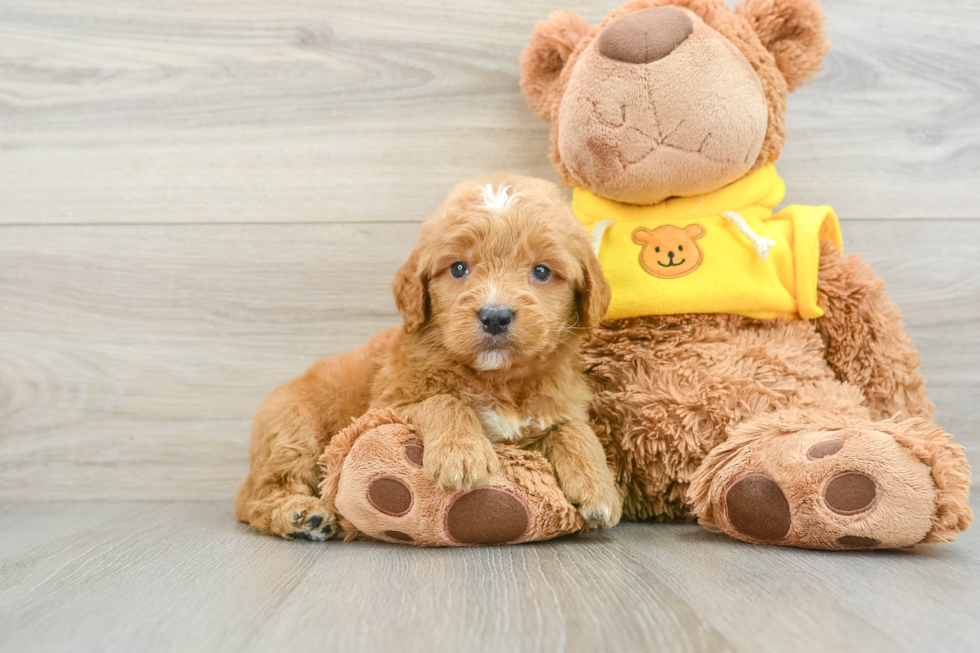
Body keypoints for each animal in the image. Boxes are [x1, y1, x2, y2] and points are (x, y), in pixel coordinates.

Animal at [236, 174, 620, 540]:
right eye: (459, 268)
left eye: (542, 271)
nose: (495, 316)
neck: (496, 377)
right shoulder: (390, 404)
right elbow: (443, 400)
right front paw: (461, 453)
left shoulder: (554, 408)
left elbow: (574, 429)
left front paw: (598, 487)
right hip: (294, 430)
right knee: (258, 495)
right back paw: (301, 515)